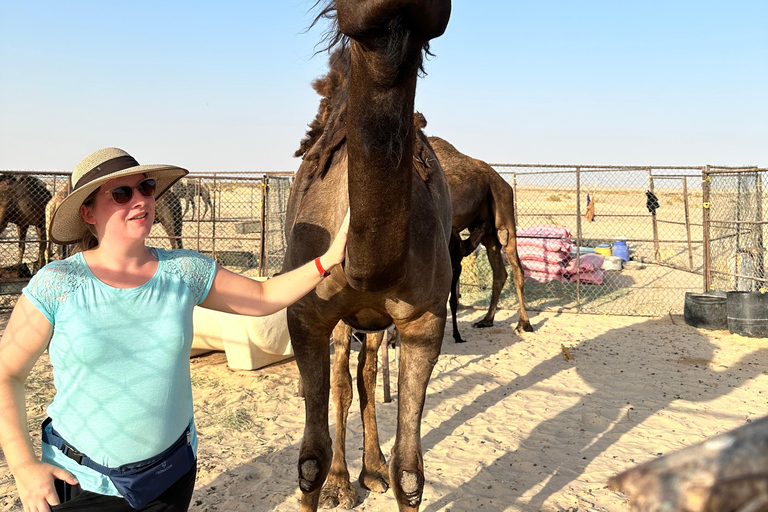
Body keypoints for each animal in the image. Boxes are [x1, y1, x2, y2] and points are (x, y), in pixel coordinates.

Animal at [280, 2, 450, 510]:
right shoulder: (307, 315)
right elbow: (309, 461)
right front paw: (330, 479)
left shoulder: (424, 320)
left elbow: (410, 473)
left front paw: (384, 470)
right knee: (342, 379)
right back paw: (342, 481)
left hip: (375, 322)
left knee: (367, 372)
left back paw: (371, 469)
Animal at [424, 125, 532, 340]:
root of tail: (500, 179)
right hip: (486, 229)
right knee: (499, 272)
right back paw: (486, 320)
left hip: (503, 206)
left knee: (516, 267)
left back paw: (524, 323)